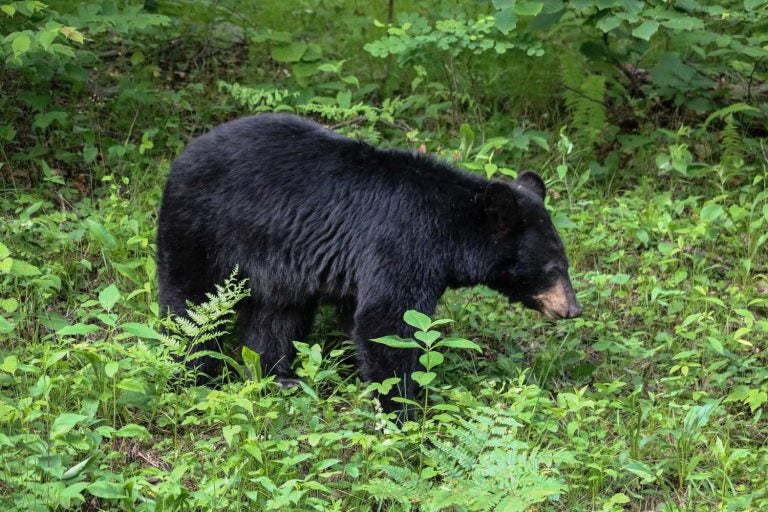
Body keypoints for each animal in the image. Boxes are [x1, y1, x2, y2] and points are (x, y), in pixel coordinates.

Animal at [156, 114, 580, 410]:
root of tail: (181, 157)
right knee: (190, 306)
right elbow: (387, 322)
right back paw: (191, 374)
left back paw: (277, 377)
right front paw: (403, 409)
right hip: (203, 228)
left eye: (564, 262)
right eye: (552, 268)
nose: (573, 308)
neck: (451, 228)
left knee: (276, 316)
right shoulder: (402, 243)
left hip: (276, 264)